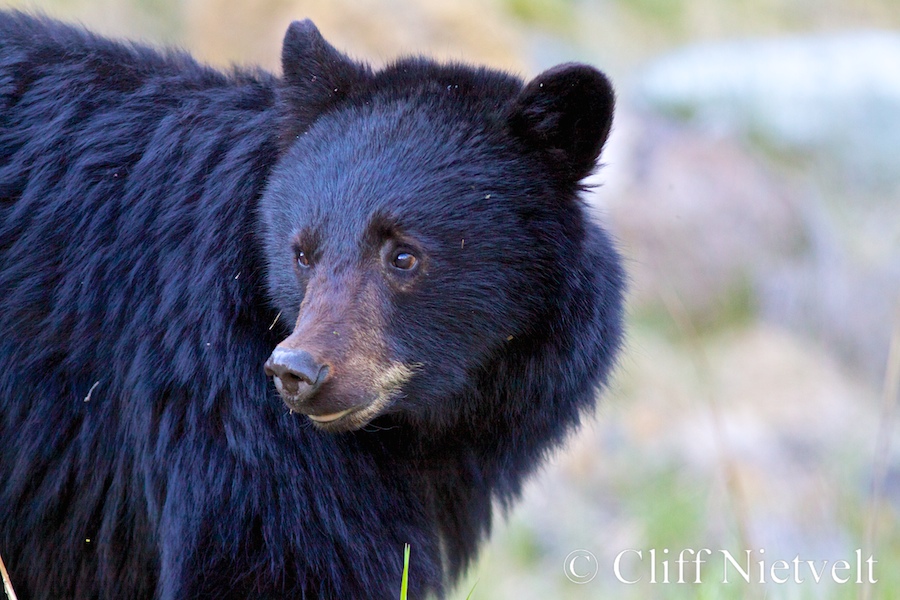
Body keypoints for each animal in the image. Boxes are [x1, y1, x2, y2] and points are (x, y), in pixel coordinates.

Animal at [0, 10, 624, 600]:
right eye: (301, 252)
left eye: (403, 255)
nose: (296, 370)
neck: (419, 429)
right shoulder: (222, 401)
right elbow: (266, 558)